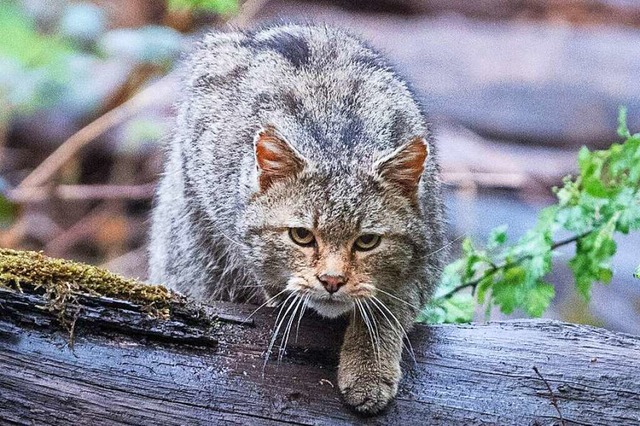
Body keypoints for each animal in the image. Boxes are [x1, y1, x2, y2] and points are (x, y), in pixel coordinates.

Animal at [149, 22, 444, 412]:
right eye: (301, 236)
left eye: (367, 241)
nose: (332, 281)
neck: (338, 141)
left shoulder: (430, 254)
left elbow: (388, 308)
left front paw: (369, 367)